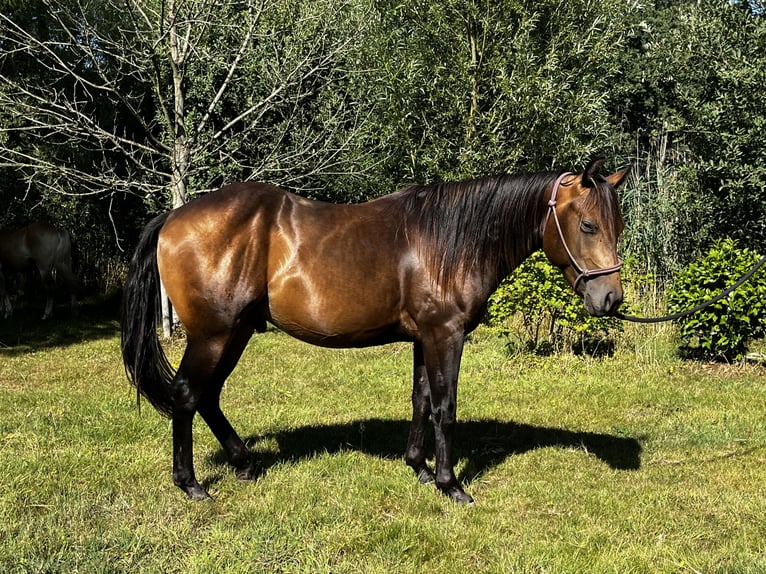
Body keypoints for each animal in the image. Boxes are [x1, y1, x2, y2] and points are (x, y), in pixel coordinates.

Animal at [121, 157, 628, 503]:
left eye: (617, 225)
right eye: (588, 224)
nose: (611, 299)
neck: (448, 242)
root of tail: (173, 217)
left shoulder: (425, 338)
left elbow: (421, 400)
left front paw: (419, 468)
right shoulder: (446, 335)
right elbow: (445, 407)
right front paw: (450, 485)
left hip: (236, 331)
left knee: (206, 396)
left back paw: (244, 464)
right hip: (213, 334)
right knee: (187, 395)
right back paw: (191, 485)